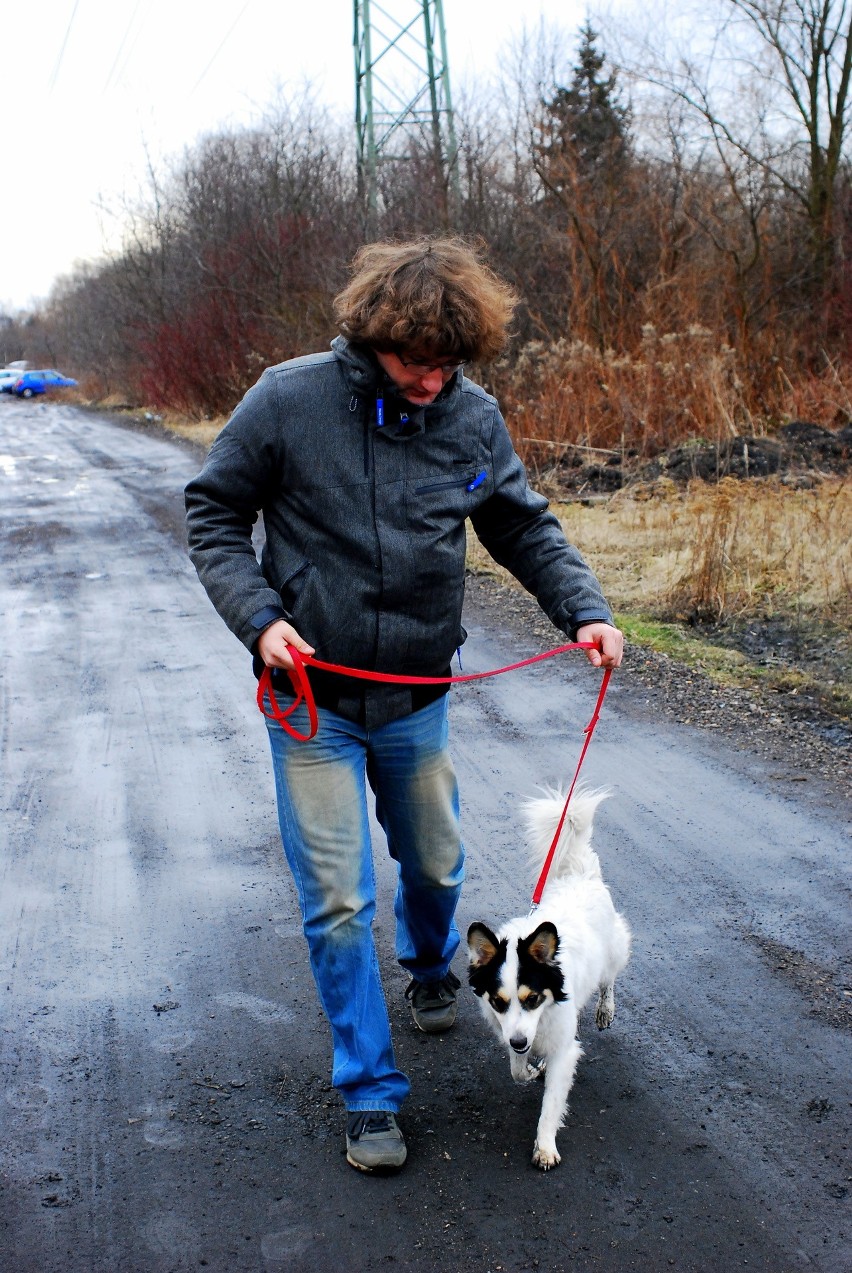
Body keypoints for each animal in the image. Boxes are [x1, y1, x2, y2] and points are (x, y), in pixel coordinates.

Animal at [466, 784, 631, 1171]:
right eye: (498, 1002)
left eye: (533, 998)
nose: (519, 1043)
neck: (541, 1020)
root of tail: (581, 875)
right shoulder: (512, 1032)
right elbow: (516, 1070)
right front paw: (528, 1070)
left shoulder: (565, 1050)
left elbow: (552, 1102)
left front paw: (544, 1146)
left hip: (614, 950)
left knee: (609, 980)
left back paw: (605, 1010)